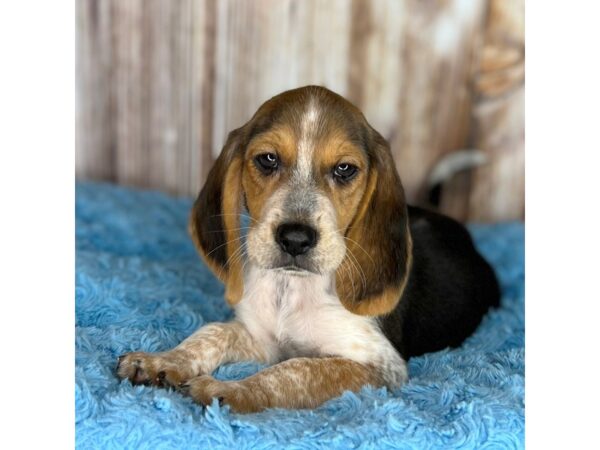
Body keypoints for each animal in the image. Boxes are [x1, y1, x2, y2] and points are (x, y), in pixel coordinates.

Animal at [115, 86, 500, 414]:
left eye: (345, 169)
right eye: (268, 159)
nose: (296, 239)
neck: (292, 286)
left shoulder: (378, 366)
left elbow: (294, 370)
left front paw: (232, 389)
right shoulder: (263, 340)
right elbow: (212, 332)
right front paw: (164, 361)